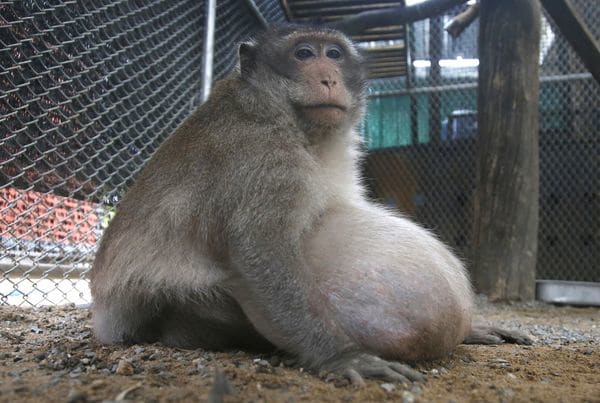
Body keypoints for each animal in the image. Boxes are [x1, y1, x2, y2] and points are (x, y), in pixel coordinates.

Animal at [89, 23, 528, 386]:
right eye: (303, 54)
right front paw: (340, 356)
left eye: (333, 54)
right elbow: (259, 248)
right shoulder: (261, 159)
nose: (327, 77)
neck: (292, 124)